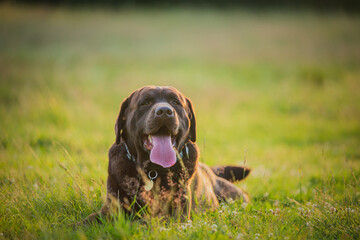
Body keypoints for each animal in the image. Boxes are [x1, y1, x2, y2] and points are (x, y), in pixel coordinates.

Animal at [78, 85, 250, 224]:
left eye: (175, 102)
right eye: (145, 103)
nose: (165, 111)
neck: (153, 171)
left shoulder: (178, 210)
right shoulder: (112, 207)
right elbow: (89, 220)